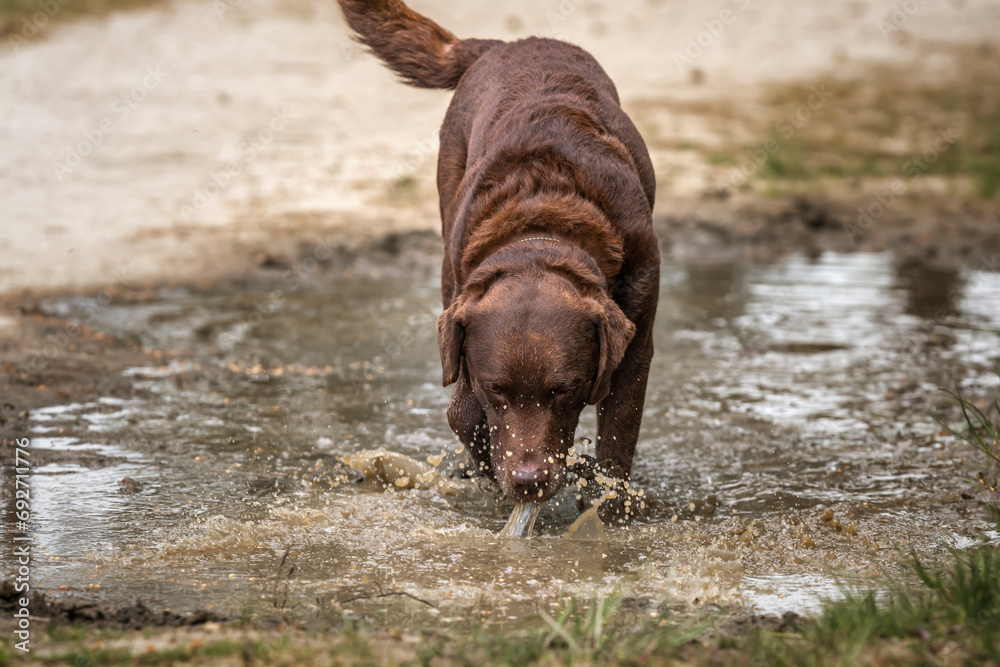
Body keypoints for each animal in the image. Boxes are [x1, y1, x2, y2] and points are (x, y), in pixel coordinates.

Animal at [340, 0, 660, 512]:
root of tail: (510, 43)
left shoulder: (637, 333)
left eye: (562, 390)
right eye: (497, 389)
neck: (542, 229)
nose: (529, 481)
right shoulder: (462, 321)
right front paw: (489, 474)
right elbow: (464, 413)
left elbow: (618, 433)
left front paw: (606, 507)